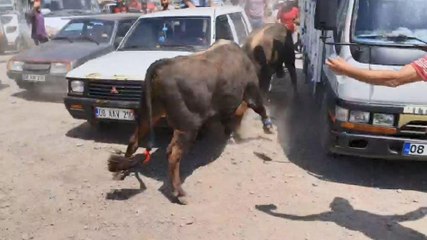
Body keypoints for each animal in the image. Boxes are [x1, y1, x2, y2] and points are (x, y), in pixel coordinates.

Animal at [108, 39, 274, 204]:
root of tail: (162, 65)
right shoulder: (252, 91)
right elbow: (260, 108)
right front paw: (268, 127)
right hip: (187, 127)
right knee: (173, 154)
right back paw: (179, 193)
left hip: (149, 114)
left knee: (134, 140)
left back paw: (120, 171)